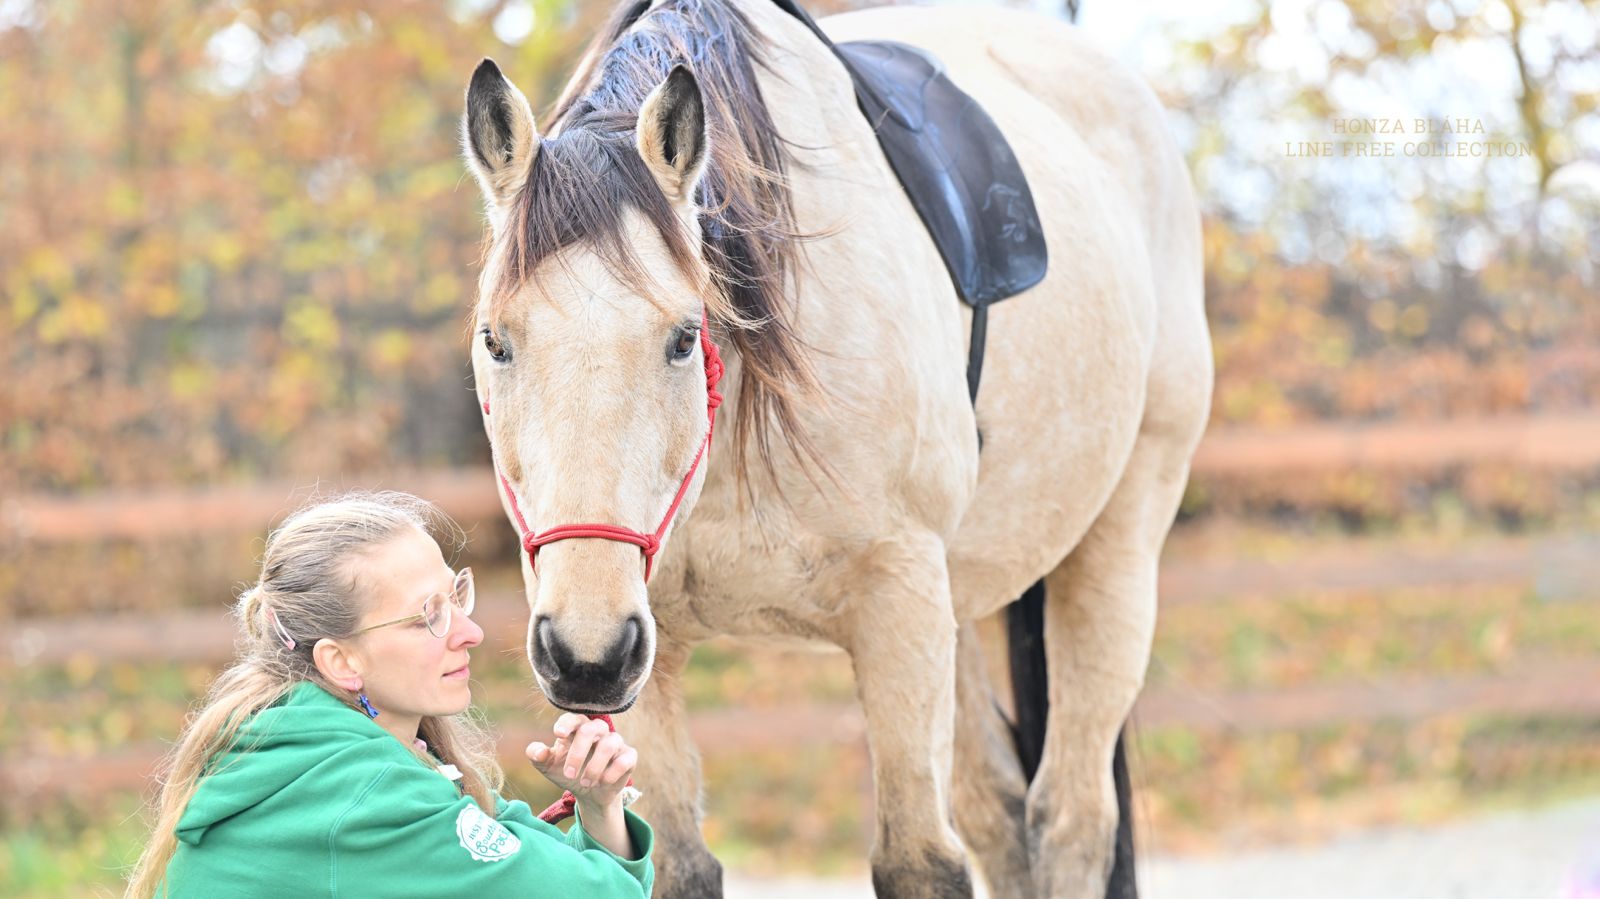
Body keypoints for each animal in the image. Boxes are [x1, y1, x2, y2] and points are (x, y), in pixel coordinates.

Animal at [457, 1, 1211, 896]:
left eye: (682, 337)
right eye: (495, 341)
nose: (585, 655)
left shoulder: (897, 602)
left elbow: (919, 860)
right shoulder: (648, 651)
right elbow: (672, 861)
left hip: (1111, 550)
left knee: (1071, 820)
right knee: (1001, 814)